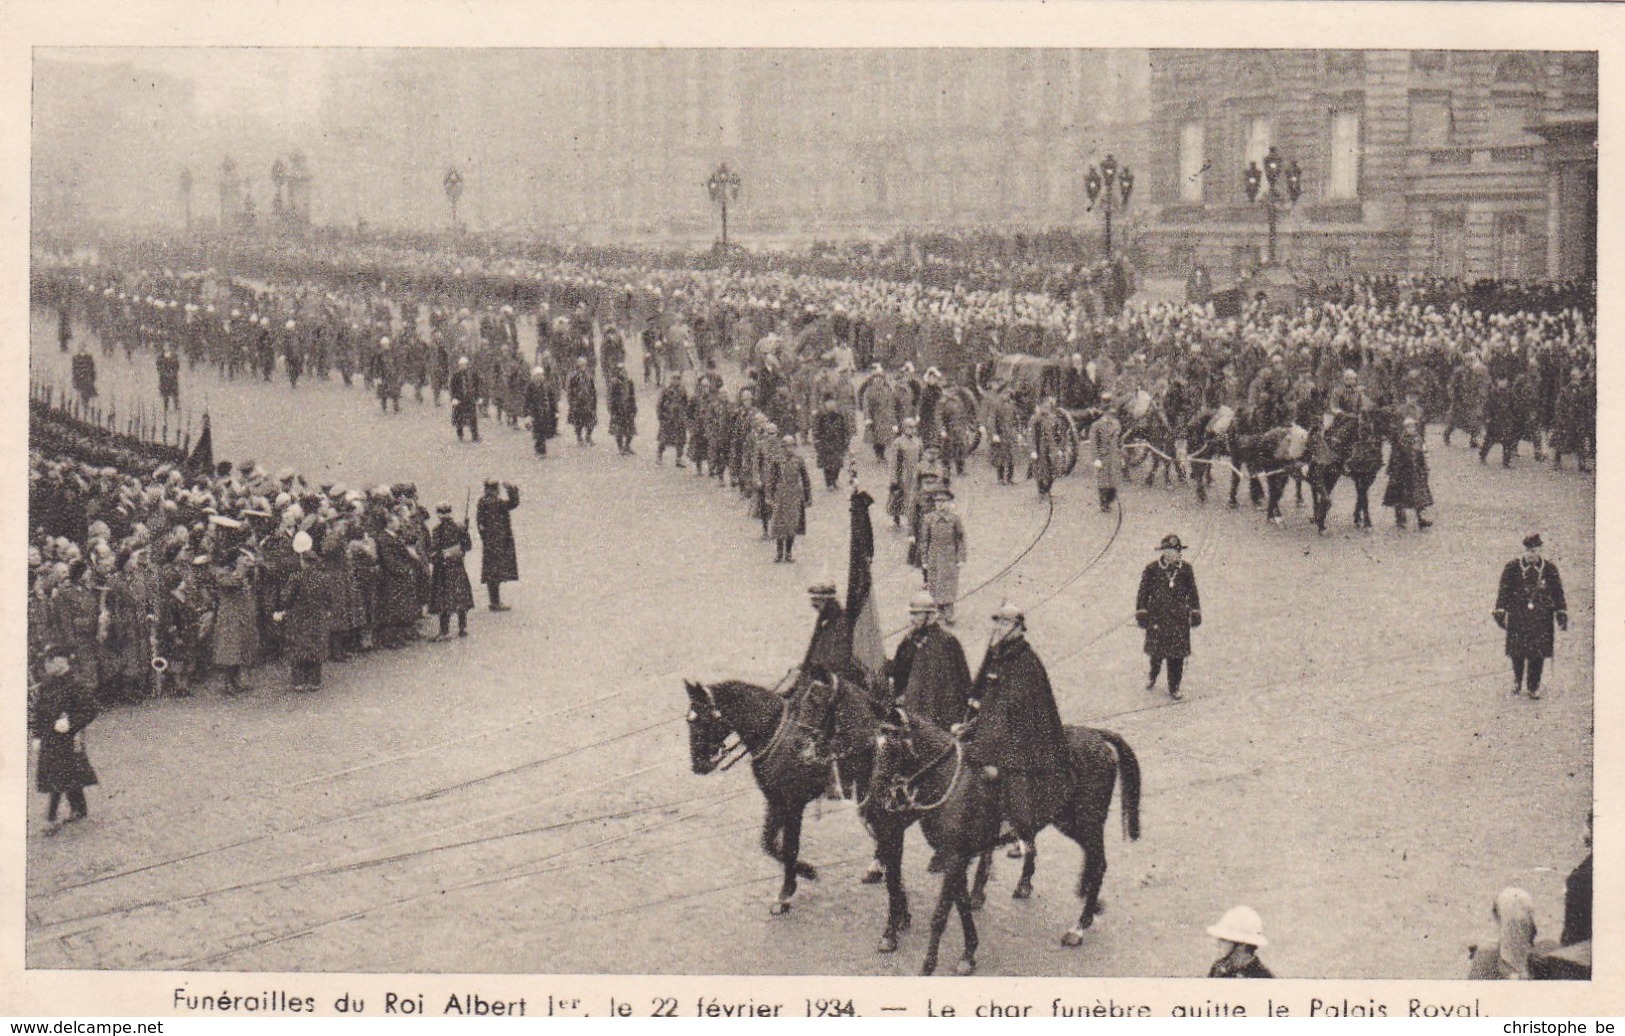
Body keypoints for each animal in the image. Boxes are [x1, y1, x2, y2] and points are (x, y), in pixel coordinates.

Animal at [689, 675, 890, 915]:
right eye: (689, 720)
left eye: (704, 720)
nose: (697, 765)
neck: (774, 732)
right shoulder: (775, 800)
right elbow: (769, 843)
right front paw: (802, 873)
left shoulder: (794, 803)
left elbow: (789, 847)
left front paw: (788, 890)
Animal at [864, 711, 1144, 980]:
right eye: (874, 748)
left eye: (893, 748)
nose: (876, 800)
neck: (950, 782)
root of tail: (1097, 735)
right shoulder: (957, 857)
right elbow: (962, 904)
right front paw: (969, 954)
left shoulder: (954, 856)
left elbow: (941, 914)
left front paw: (928, 965)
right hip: (1069, 822)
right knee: (1090, 860)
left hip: (1087, 823)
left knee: (1099, 864)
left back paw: (1078, 927)